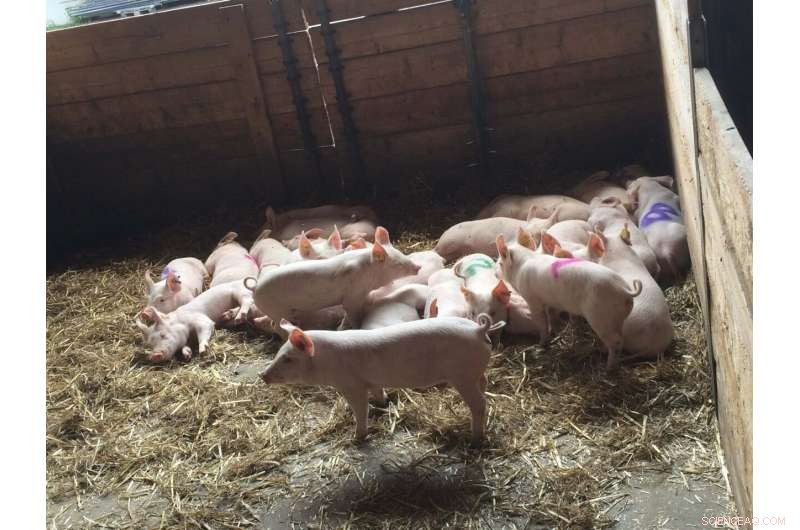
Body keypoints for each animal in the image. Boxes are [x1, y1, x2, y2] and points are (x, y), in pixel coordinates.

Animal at [251, 227, 420, 331]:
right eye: (397, 264)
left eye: (402, 254)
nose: (418, 267)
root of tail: (254, 289)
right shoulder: (352, 297)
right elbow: (352, 315)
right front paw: (354, 327)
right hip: (276, 309)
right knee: (276, 326)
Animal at [260, 315, 505, 443]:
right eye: (279, 353)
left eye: (288, 359)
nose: (262, 375)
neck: (328, 360)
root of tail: (478, 330)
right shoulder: (371, 381)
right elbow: (377, 393)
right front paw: (383, 403)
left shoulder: (352, 385)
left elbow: (361, 409)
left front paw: (357, 438)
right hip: (473, 373)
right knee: (484, 383)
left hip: (461, 376)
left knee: (480, 404)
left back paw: (475, 438)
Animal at [496, 228, 642, 371]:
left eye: (500, 263)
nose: (496, 274)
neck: (522, 265)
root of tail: (625, 290)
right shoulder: (551, 301)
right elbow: (552, 316)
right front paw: (555, 330)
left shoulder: (533, 300)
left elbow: (542, 323)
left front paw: (541, 344)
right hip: (617, 319)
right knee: (620, 338)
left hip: (600, 317)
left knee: (616, 342)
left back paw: (608, 368)